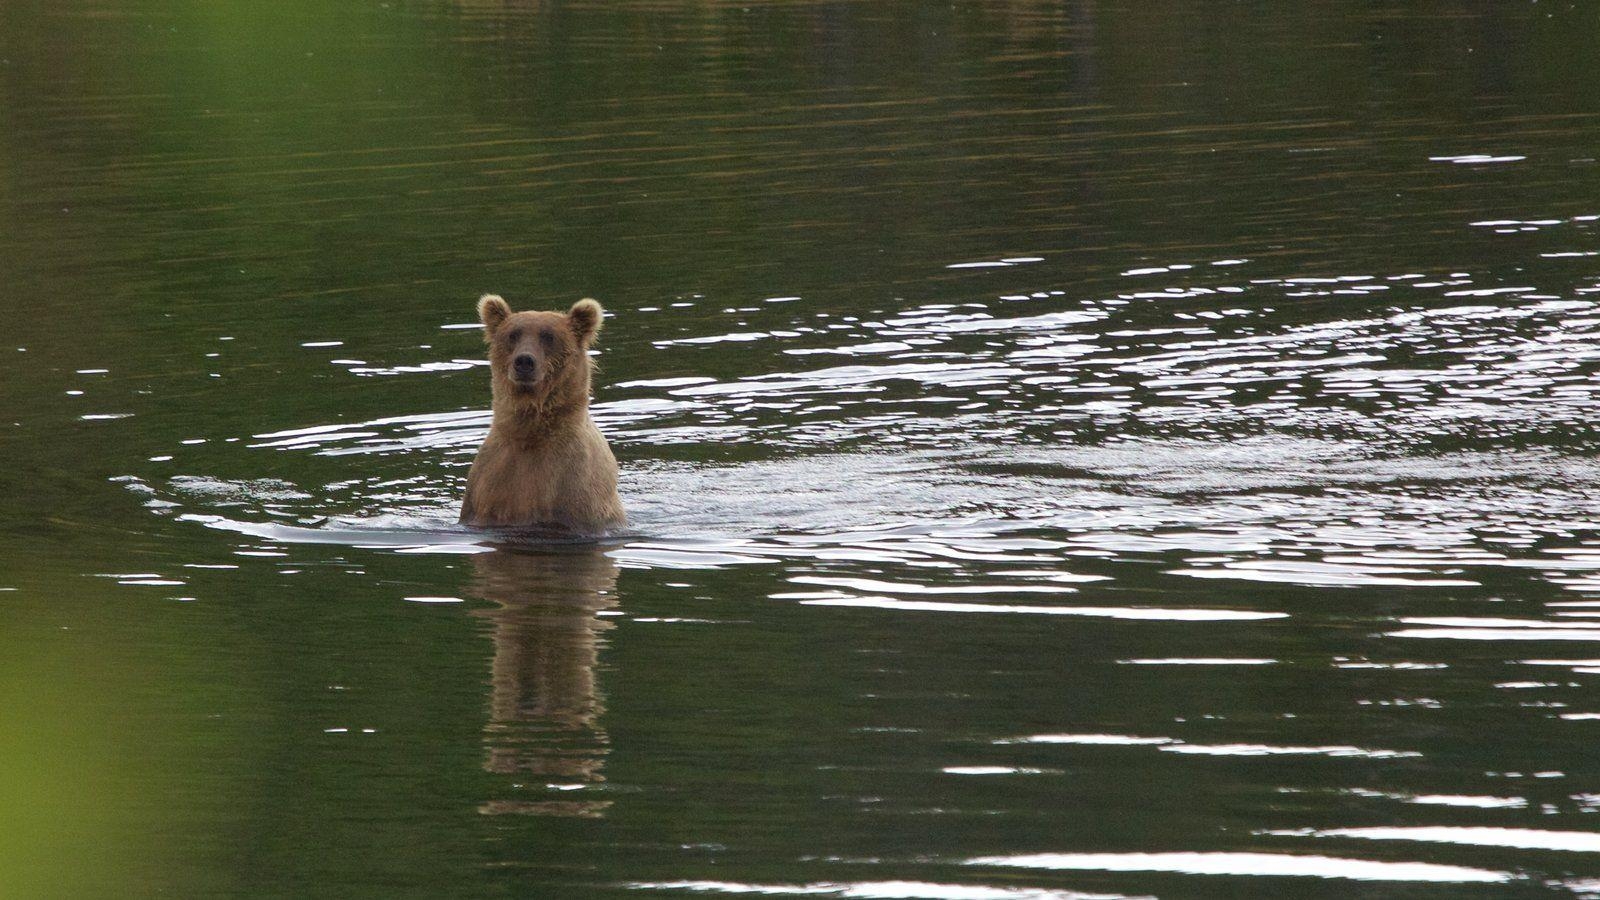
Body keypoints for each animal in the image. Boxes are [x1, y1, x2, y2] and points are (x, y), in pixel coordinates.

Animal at [457, 294, 624, 531]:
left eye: (548, 336)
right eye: (513, 334)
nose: (524, 361)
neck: (532, 432)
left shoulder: (573, 488)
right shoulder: (490, 484)